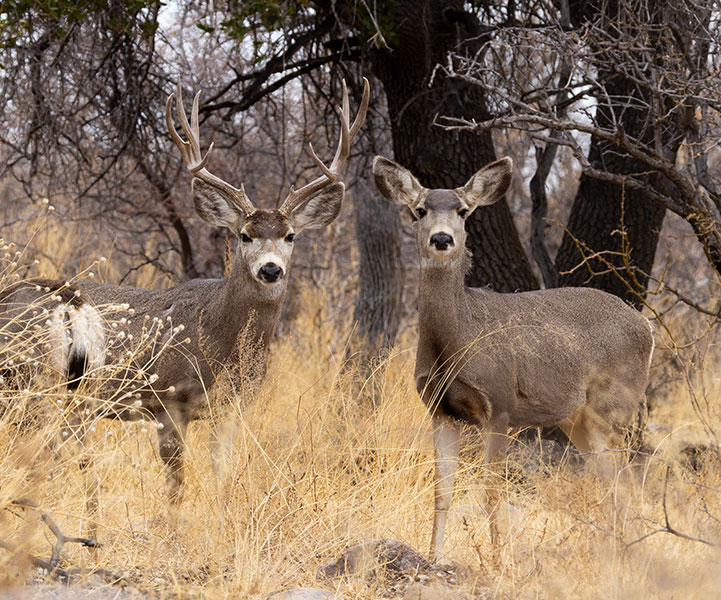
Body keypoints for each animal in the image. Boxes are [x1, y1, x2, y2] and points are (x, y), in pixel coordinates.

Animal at [1, 78, 369, 508]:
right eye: (244, 235)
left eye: (290, 236)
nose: (270, 269)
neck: (217, 336)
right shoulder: (167, 402)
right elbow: (177, 485)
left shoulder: (230, 409)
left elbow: (222, 472)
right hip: (31, 383)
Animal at [372, 155, 654, 558]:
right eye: (420, 210)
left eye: (462, 211)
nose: (441, 238)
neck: (454, 341)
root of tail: (647, 325)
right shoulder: (440, 411)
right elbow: (442, 493)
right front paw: (433, 557)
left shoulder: (499, 403)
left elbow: (492, 491)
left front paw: (497, 558)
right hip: (576, 419)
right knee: (609, 479)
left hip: (615, 406)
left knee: (627, 479)